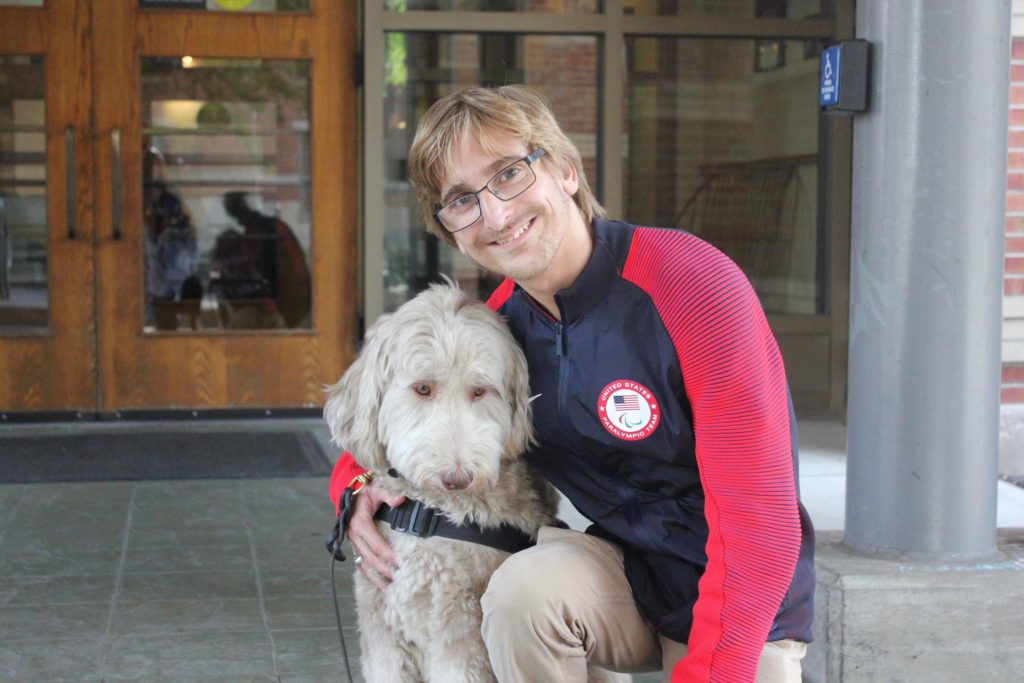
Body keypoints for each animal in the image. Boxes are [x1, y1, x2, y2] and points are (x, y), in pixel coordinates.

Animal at [323, 282, 626, 683]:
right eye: (422, 388)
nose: (458, 478)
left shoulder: (461, 638)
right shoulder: (384, 634)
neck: (429, 515)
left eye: (480, 391)